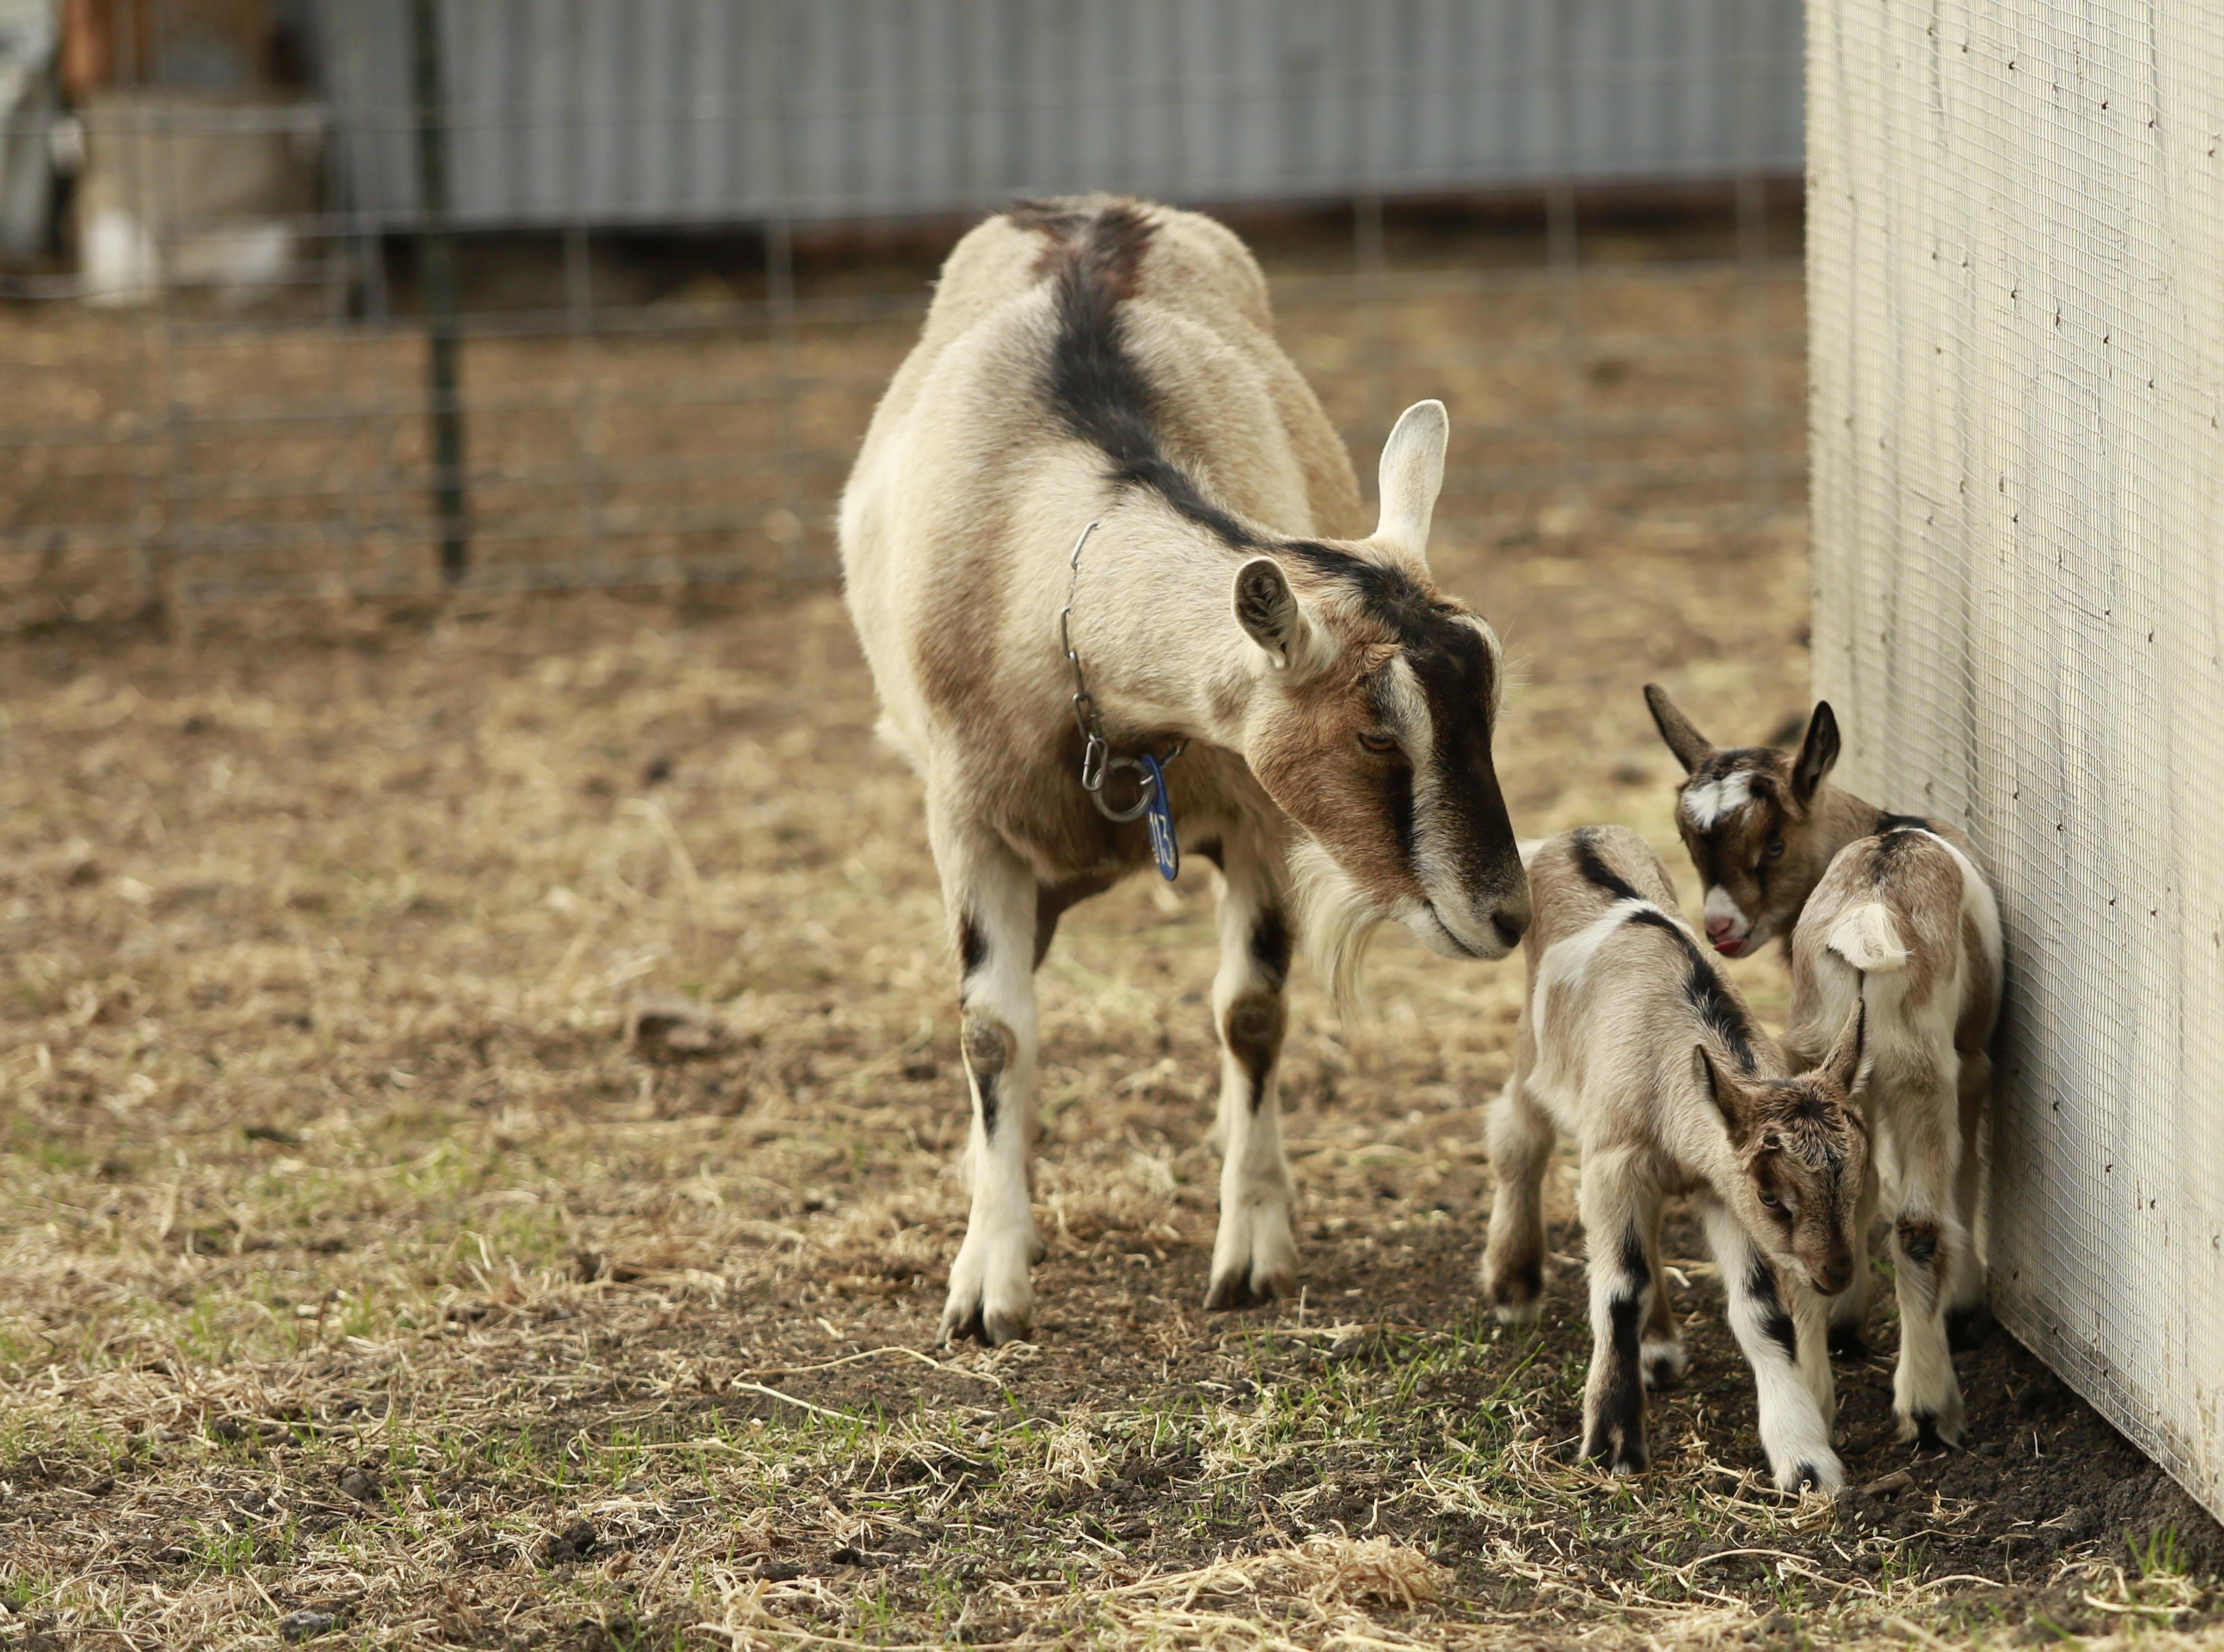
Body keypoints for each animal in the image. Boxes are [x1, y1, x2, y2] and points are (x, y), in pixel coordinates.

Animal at [841, 197, 1530, 1345]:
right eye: (1376, 734)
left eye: (1488, 704)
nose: (1507, 915)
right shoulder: (966, 819)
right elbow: (991, 1032)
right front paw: (988, 1280)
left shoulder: (1257, 815)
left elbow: (1249, 1012)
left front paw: (1250, 1248)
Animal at [1482, 826, 1869, 1493]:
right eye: (1774, 1196)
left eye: (1856, 1181)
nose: (1835, 1274)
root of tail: (1570, 836)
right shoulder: (1613, 1162)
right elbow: (1620, 1290)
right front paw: (1612, 1445)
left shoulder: (1719, 1185)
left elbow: (1761, 1310)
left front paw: (1804, 1461)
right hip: (1535, 1052)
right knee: (1518, 1136)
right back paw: (1513, 1284)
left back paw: (1659, 1350)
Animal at [1643, 687, 2003, 1446]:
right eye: (1693, 845)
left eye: (1773, 844)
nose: (1720, 928)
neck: (1878, 827)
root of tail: (1870, 909)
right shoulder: (1970, 1061)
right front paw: (1961, 1311)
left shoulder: (1834, 1075)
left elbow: (1855, 1192)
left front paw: (1843, 1323)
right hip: (1920, 1069)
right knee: (1918, 1222)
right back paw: (1929, 1408)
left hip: (1809, 1045)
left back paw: (1815, 1396)